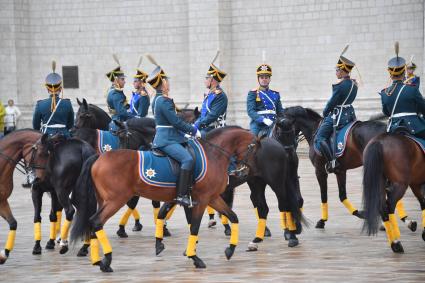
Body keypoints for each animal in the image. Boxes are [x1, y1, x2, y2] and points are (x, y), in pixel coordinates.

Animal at [69, 127, 262, 272]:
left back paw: (98, 261)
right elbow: (194, 226)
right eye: (253, 148)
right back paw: (107, 260)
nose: (245, 172)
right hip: (115, 200)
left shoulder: (212, 198)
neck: (213, 154)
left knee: (93, 224)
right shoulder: (202, 199)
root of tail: (99, 157)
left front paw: (230, 249)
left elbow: (233, 217)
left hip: (104, 201)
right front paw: (194, 257)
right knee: (96, 221)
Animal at [280, 106, 416, 231]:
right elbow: (342, 195)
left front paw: (322, 220)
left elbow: (324, 195)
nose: (284, 146)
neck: (314, 130)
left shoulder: (320, 171)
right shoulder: (340, 171)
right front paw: (358, 213)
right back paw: (404, 220)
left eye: (280, 125)